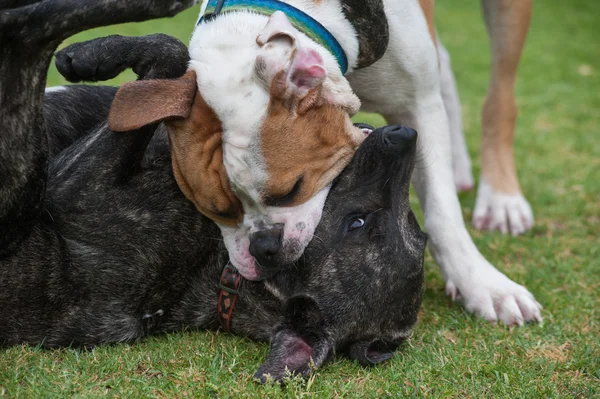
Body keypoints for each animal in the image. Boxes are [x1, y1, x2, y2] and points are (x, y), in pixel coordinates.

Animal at [0, 0, 426, 382]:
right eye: (419, 232)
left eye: (357, 224)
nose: (406, 135)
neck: (221, 273)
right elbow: (176, 59)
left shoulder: (75, 185)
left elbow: (165, 62)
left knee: (28, 33)